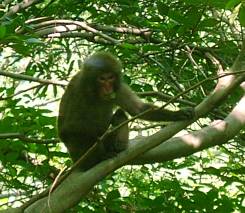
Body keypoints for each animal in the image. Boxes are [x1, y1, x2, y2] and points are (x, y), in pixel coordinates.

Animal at [57, 51, 193, 170]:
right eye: (102, 79)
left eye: (110, 77)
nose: (108, 88)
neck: (96, 93)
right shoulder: (78, 90)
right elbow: (71, 127)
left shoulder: (118, 88)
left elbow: (138, 109)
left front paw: (177, 114)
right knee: (76, 134)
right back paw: (97, 159)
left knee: (120, 114)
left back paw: (119, 146)